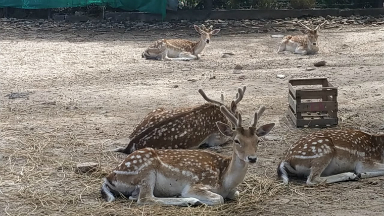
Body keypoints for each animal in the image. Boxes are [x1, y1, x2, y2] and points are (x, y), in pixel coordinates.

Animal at [101, 104, 276, 206]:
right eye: (237, 140)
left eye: (258, 140)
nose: (252, 158)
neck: (225, 181)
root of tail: (109, 178)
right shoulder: (197, 184)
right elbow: (218, 199)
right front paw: (199, 199)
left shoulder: (232, 190)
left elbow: (236, 194)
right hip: (146, 172)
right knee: (145, 199)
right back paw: (191, 201)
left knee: (136, 197)